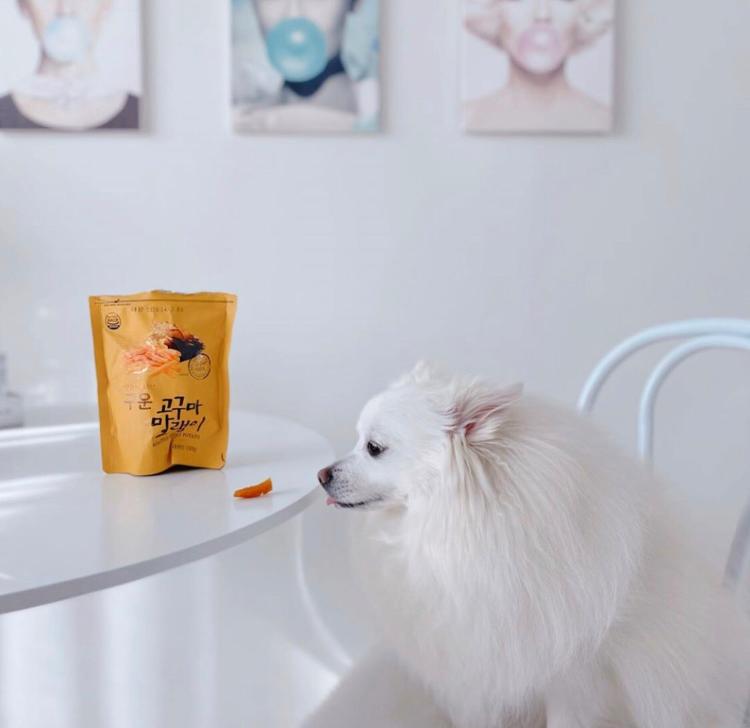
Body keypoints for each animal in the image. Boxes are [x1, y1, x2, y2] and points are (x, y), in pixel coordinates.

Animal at [317, 363, 750, 728]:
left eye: (374, 448)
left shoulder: (572, 682)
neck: (462, 525)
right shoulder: (475, 676)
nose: (322, 474)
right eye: (357, 440)